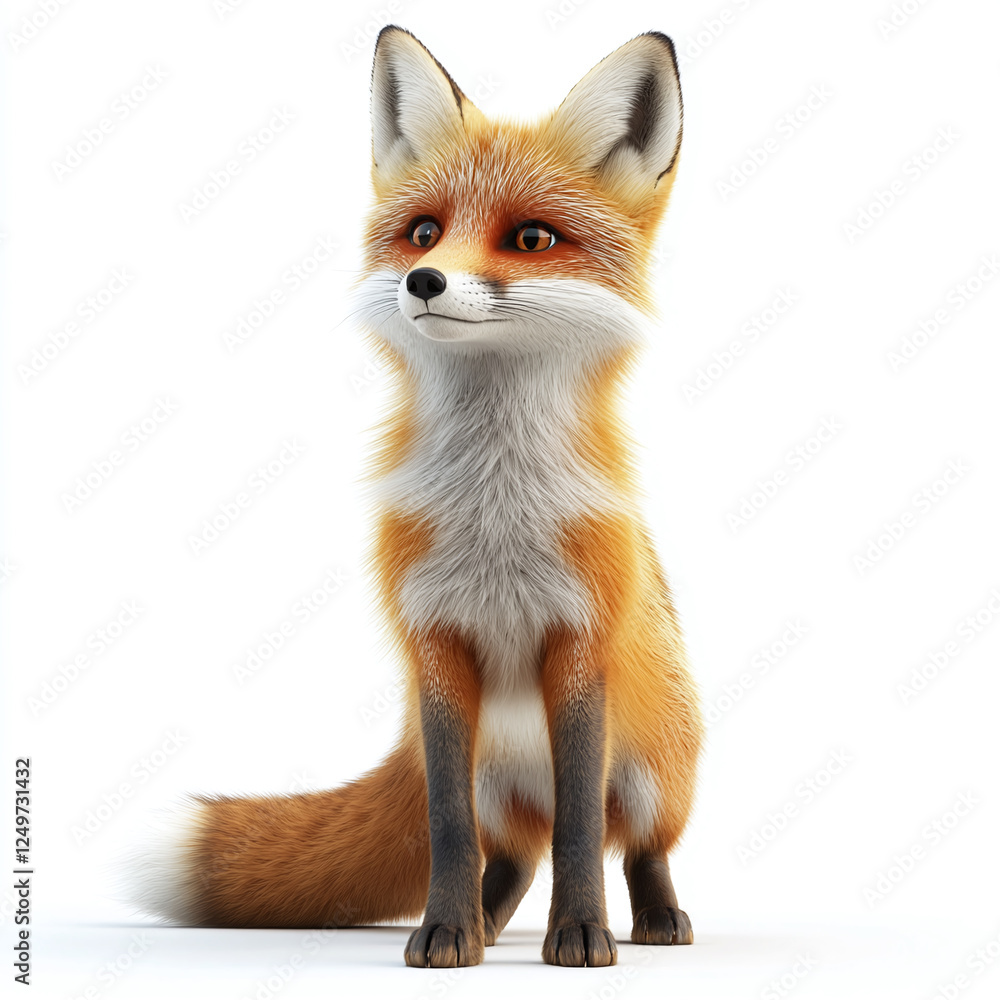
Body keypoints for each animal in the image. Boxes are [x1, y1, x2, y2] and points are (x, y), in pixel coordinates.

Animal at [123, 26, 703, 969]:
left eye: (531, 237)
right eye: (424, 231)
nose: (424, 280)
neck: (495, 518)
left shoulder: (581, 645)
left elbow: (583, 826)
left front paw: (581, 932)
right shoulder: (435, 645)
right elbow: (447, 828)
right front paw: (446, 932)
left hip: (659, 775)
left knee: (634, 845)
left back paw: (651, 917)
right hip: (498, 781)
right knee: (512, 852)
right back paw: (489, 923)